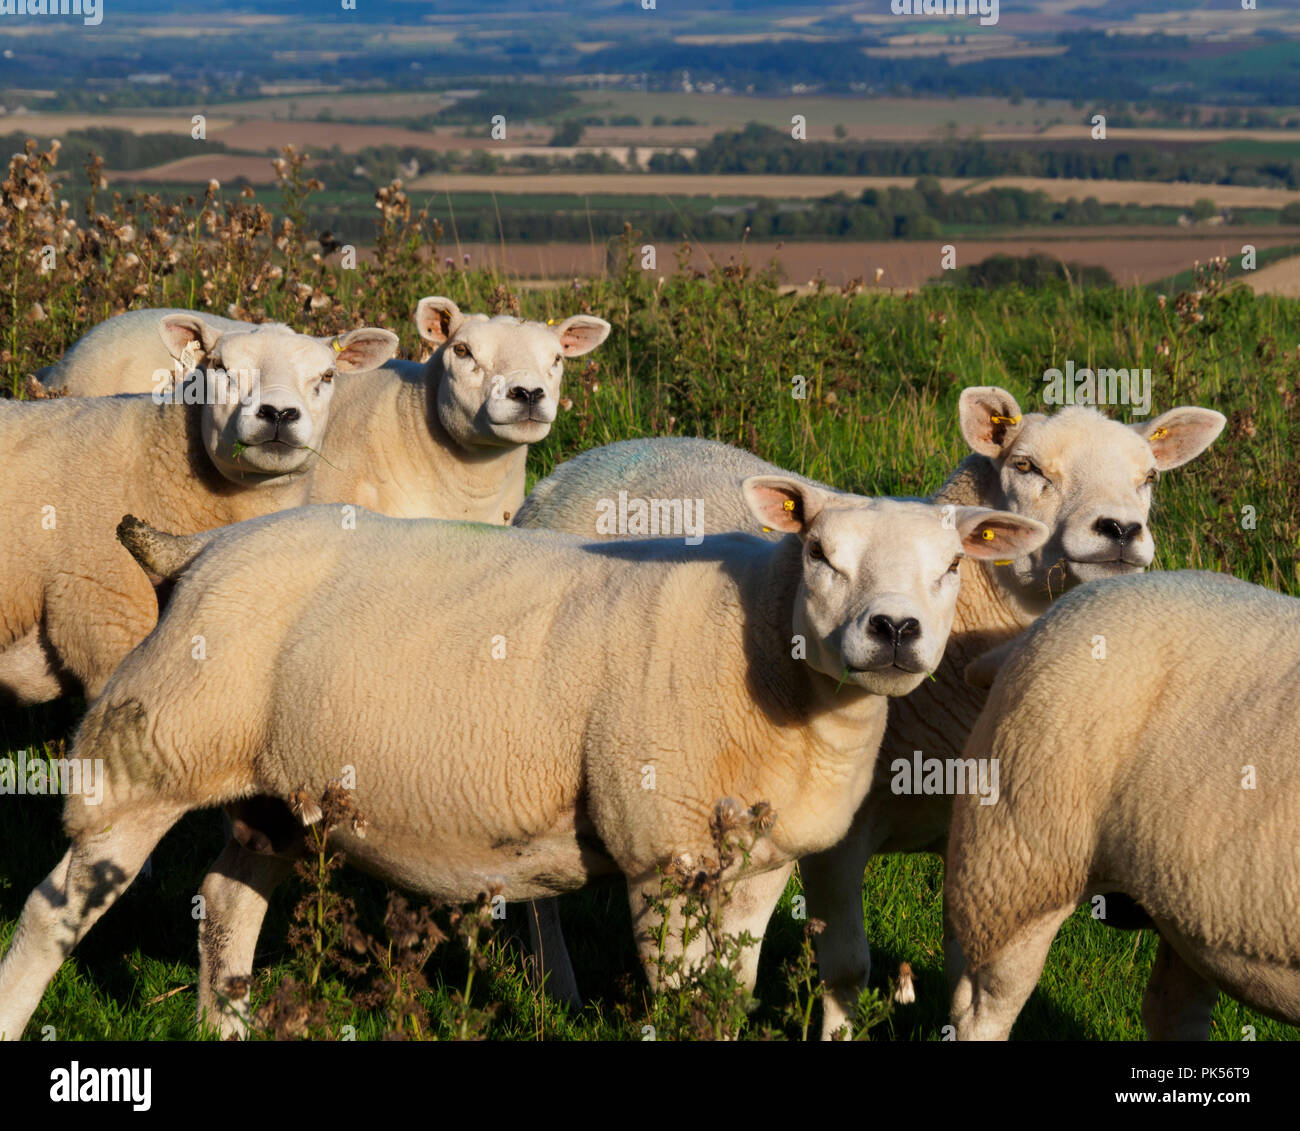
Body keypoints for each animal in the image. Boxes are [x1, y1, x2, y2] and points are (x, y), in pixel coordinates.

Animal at [0, 483, 1045, 1040]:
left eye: (953, 566)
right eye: (822, 552)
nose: (895, 629)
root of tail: (198, 547)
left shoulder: (758, 864)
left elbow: (729, 993)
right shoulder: (661, 851)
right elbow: (684, 997)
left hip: (276, 791)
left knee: (225, 905)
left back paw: (228, 1024)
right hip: (152, 745)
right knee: (57, 909)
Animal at [509, 390, 1227, 1034]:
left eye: (1150, 478)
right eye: (1026, 466)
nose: (1121, 530)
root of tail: (593, 457)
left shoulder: (977, 843)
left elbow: (968, 980)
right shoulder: (838, 833)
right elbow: (847, 967)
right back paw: (557, 989)